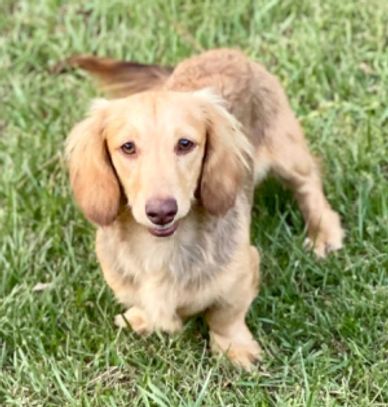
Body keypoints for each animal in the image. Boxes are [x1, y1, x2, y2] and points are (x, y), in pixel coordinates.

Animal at [66, 49, 342, 372]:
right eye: (128, 147)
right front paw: (141, 319)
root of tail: (228, 52)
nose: (162, 211)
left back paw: (324, 233)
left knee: (309, 183)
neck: (161, 250)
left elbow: (225, 317)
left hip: (288, 152)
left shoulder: (242, 272)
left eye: (185, 144)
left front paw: (235, 350)